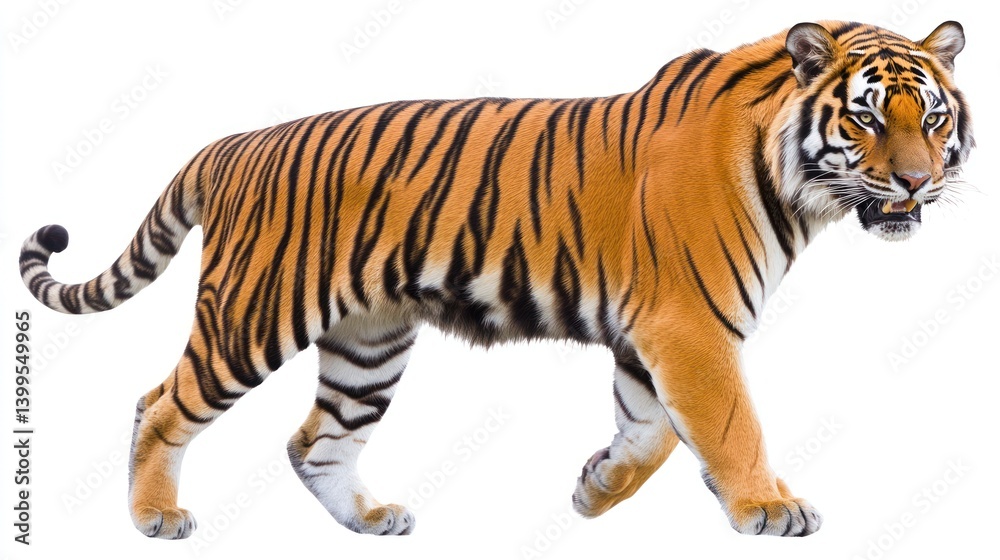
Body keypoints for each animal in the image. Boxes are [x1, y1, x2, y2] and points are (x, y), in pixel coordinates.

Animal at [20, 20, 972, 539]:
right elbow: (731, 424)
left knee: (312, 439)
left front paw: (596, 491)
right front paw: (768, 508)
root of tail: (228, 144)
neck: (793, 185)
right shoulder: (690, 326)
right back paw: (154, 519)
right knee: (158, 405)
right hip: (252, 317)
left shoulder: (653, 332)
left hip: (369, 343)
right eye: (865, 118)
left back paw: (370, 520)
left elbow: (653, 432)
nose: (916, 182)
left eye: (931, 117)